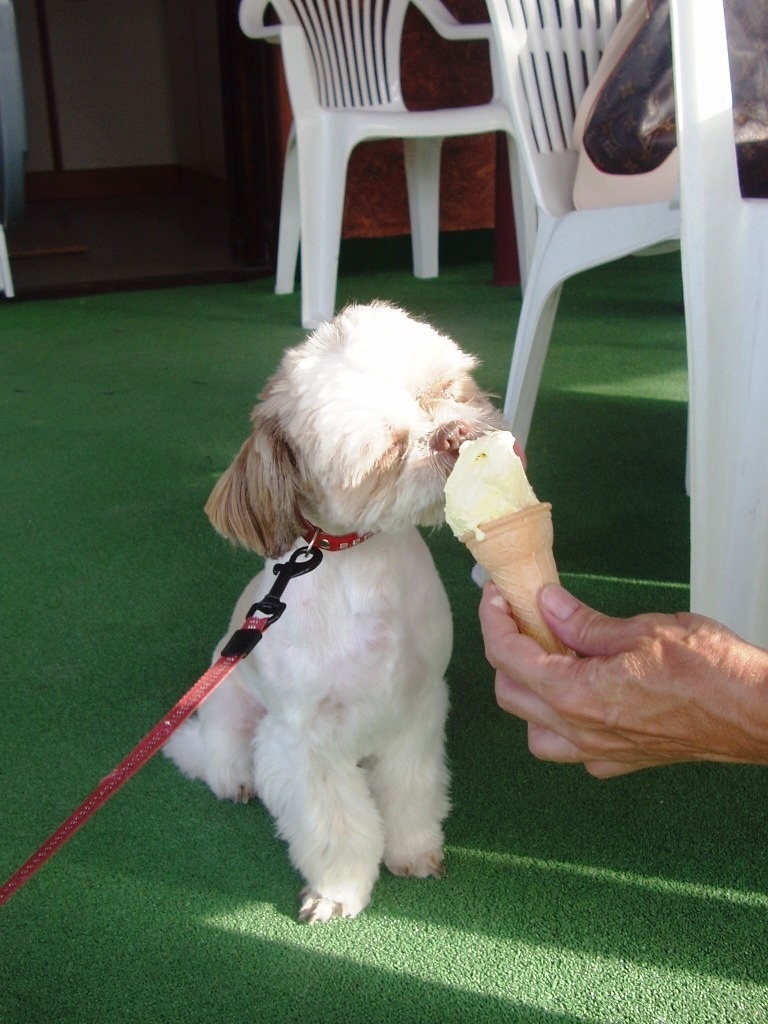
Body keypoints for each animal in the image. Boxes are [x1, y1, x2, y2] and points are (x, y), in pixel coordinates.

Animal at [165, 301, 507, 921]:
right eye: (386, 451)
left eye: (447, 389)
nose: (454, 432)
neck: (365, 569)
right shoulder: (304, 745)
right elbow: (336, 826)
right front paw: (338, 891)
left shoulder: (418, 709)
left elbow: (411, 791)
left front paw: (414, 852)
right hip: (234, 715)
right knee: (222, 758)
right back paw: (234, 780)